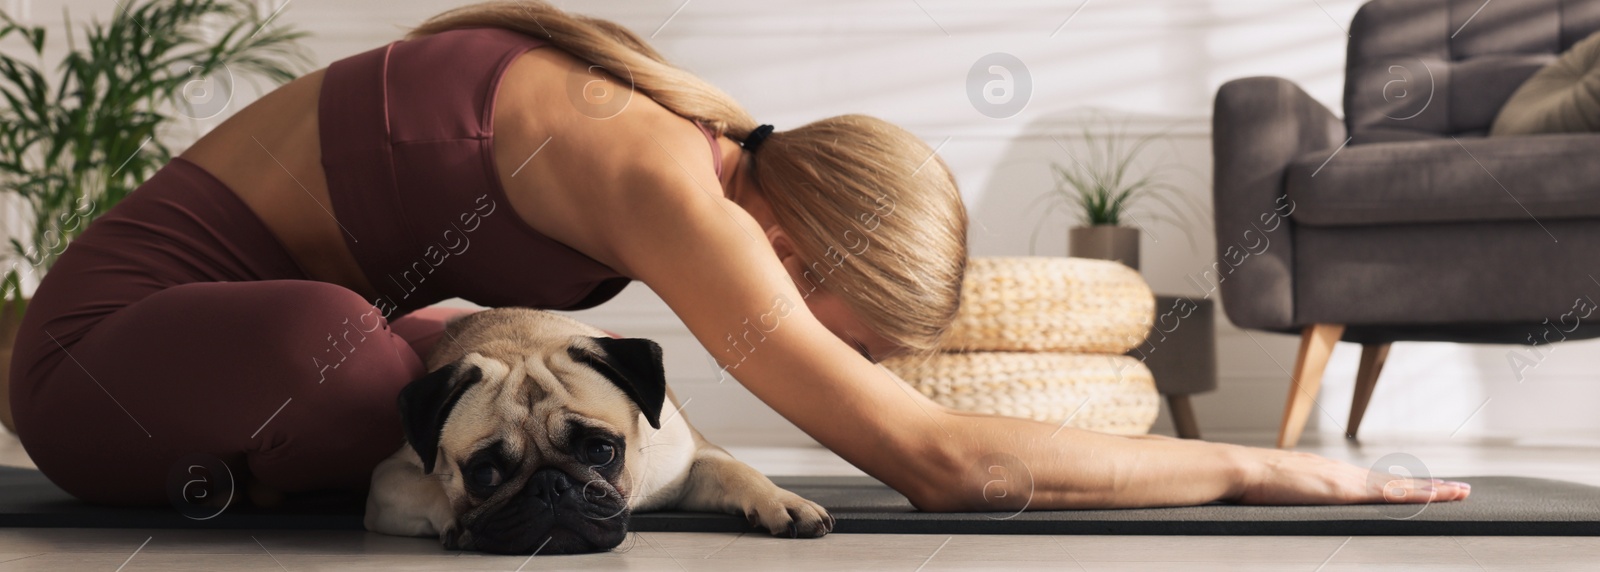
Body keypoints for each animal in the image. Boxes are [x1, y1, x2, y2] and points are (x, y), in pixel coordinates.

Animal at [364, 308, 838, 552]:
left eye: (600, 452)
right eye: (484, 474)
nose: (549, 486)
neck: (522, 339)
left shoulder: (691, 463)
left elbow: (739, 472)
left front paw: (784, 500)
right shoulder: (389, 479)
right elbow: (433, 488)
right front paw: (455, 522)